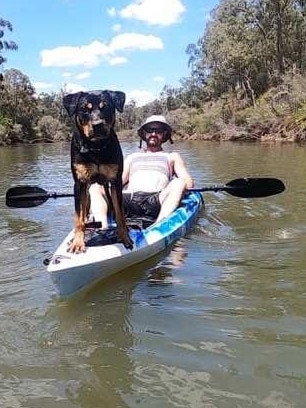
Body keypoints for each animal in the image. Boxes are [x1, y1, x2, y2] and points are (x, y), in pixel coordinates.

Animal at [63, 91, 133, 253]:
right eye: (85, 109)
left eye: (105, 107)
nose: (97, 125)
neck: (96, 148)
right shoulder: (79, 183)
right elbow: (78, 217)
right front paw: (77, 243)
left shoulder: (116, 181)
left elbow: (120, 214)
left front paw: (125, 237)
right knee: (84, 213)